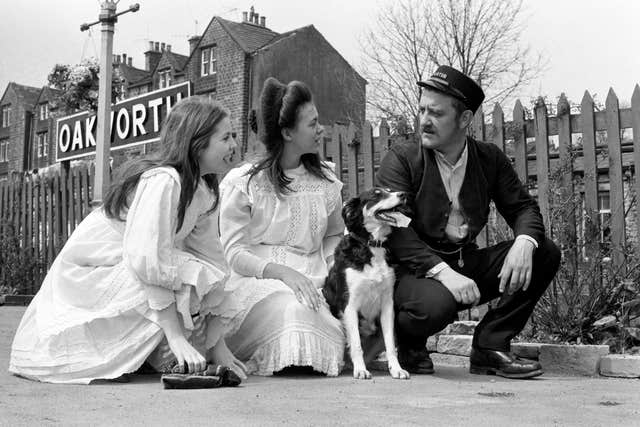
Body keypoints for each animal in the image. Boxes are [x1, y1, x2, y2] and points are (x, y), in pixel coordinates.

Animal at [322, 187, 412, 382]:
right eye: (376, 194)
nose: (403, 194)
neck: (373, 246)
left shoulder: (388, 306)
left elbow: (390, 345)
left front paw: (396, 369)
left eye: (390, 190)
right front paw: (361, 370)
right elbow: (356, 344)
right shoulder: (349, 305)